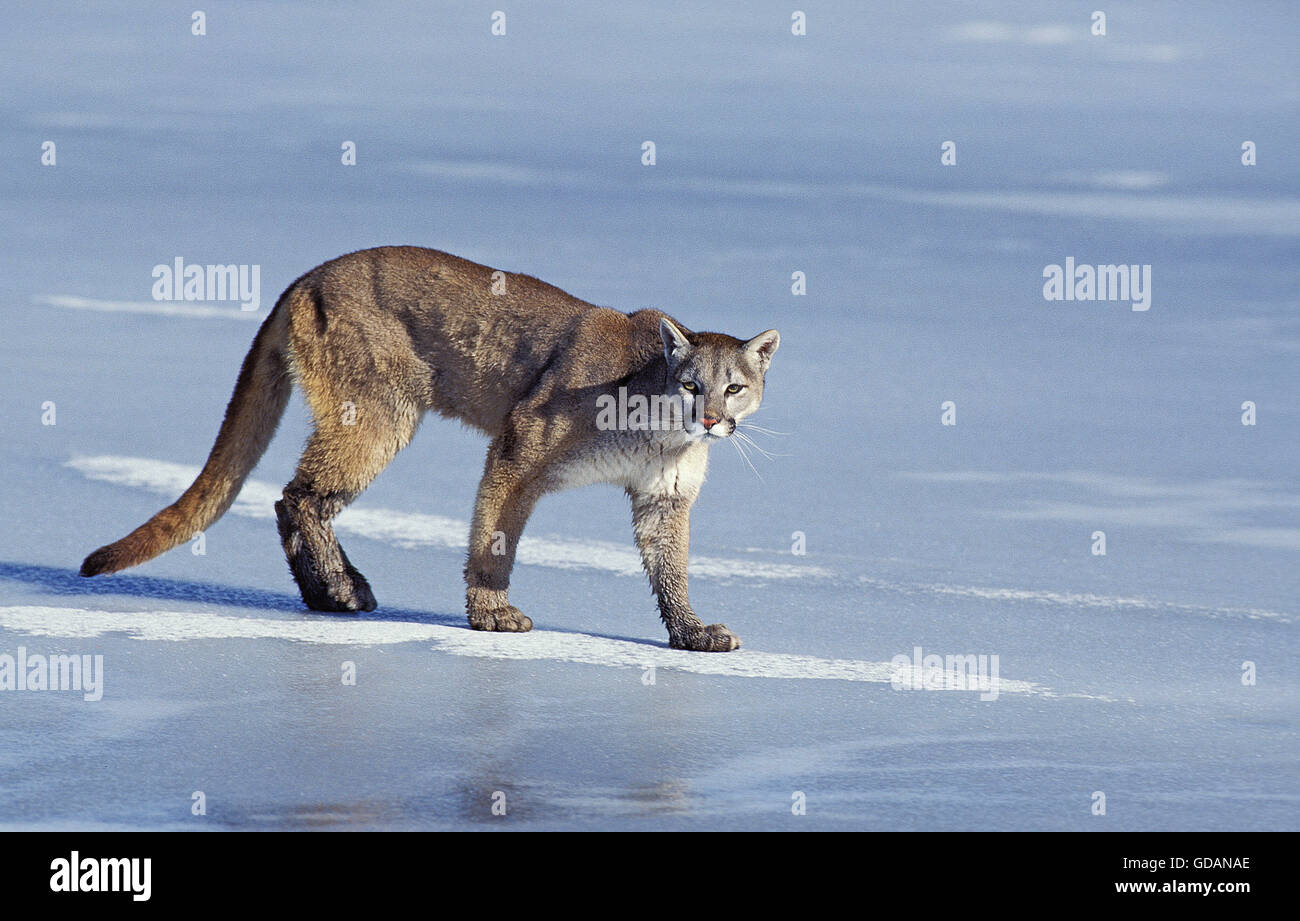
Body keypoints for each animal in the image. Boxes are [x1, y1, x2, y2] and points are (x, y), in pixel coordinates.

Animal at [81, 244, 774, 647]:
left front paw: (691, 632)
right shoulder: (518, 449)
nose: (712, 420)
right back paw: (340, 590)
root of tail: (307, 275)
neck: (658, 430)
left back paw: (331, 592)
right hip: (380, 410)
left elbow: (670, 568)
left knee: (294, 499)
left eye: (734, 387)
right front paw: (492, 614)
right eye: (691, 384)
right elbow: (494, 537)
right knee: (296, 497)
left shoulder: (664, 498)